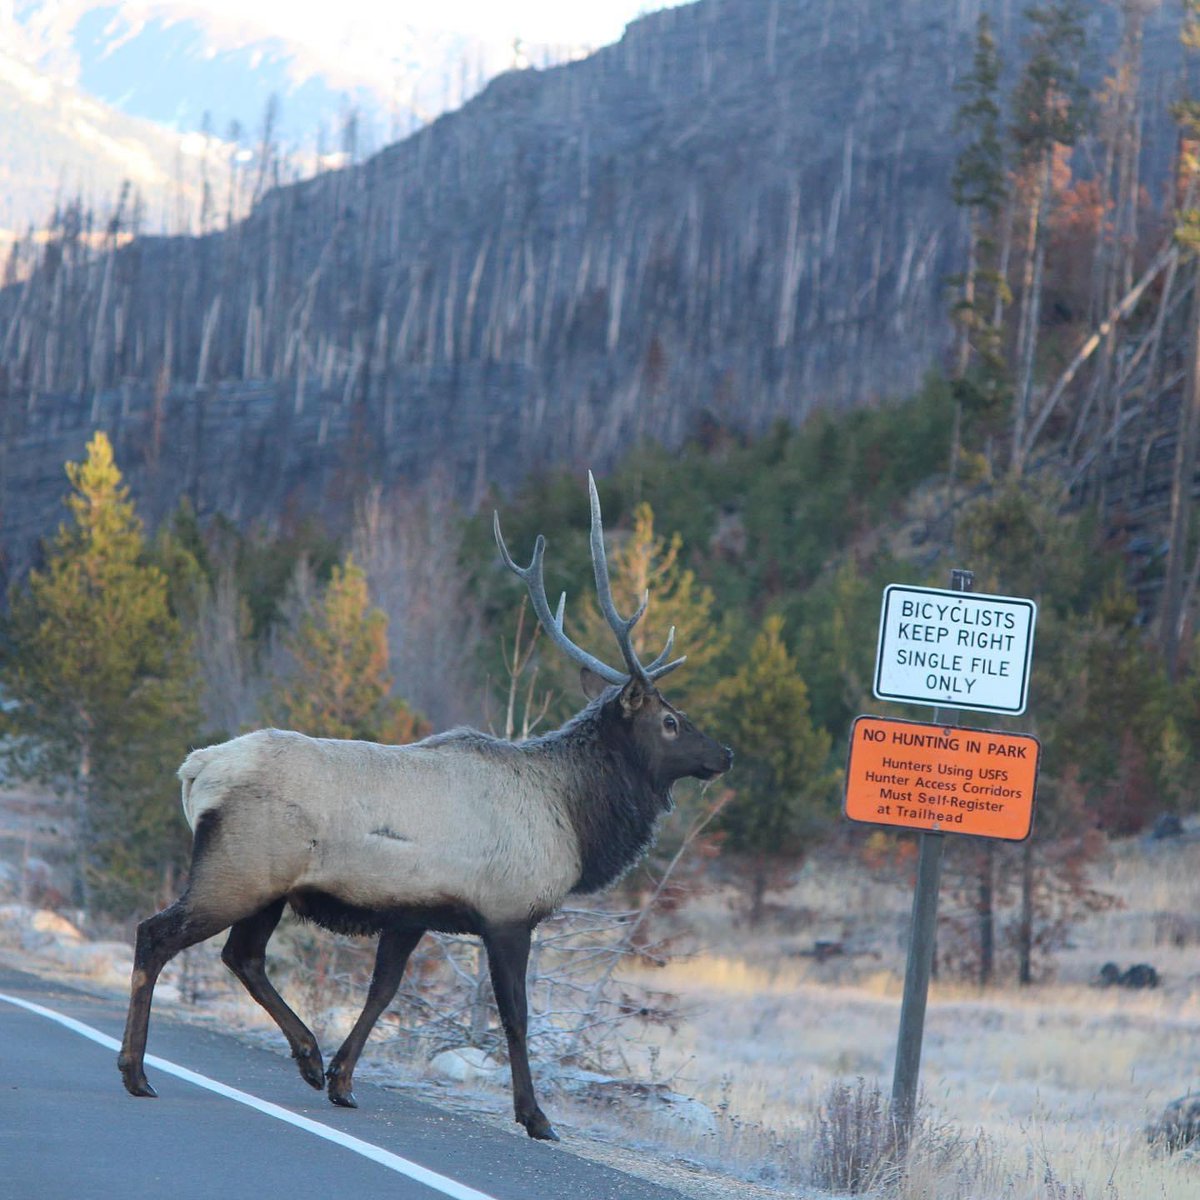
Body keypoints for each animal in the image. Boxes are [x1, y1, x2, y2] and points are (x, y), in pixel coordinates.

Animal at [117, 472, 732, 1141]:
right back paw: (137, 1073)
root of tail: (196, 769)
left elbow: (382, 991)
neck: (573, 817)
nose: (724, 753)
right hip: (239, 869)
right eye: (670, 722)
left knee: (242, 956)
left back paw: (305, 1055)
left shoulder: (410, 914)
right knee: (157, 934)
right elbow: (515, 1017)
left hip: (267, 887)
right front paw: (535, 1116)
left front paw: (342, 1080)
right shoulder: (508, 912)